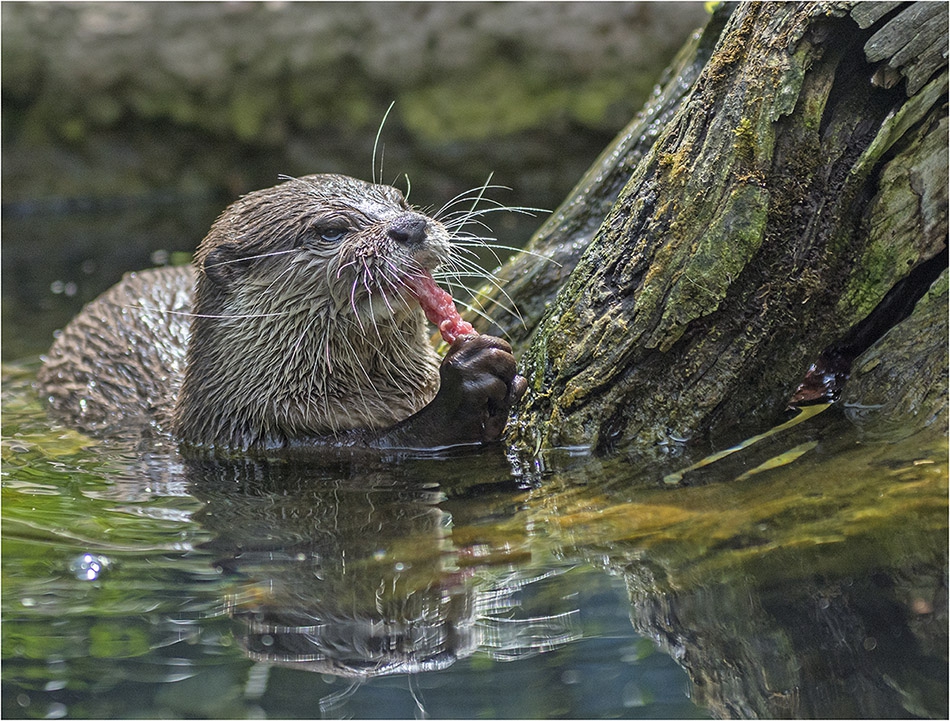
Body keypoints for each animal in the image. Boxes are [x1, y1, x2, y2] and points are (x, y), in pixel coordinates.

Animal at [39, 174, 528, 450]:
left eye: (402, 202)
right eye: (331, 231)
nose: (411, 225)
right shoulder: (263, 439)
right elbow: (395, 442)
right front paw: (469, 378)